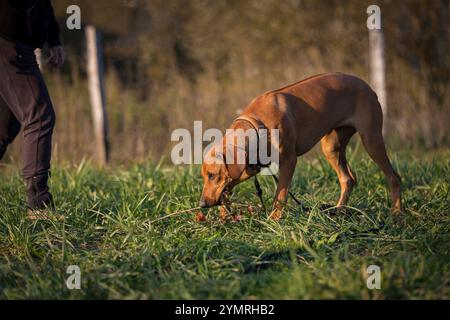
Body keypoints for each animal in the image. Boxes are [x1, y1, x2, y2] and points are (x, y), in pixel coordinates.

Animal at [199, 72, 402, 218]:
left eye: (212, 175)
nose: (201, 204)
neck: (257, 123)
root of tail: (369, 88)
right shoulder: (250, 166)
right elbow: (228, 189)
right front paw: (224, 215)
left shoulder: (289, 161)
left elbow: (280, 195)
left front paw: (274, 220)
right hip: (331, 147)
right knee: (348, 179)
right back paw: (339, 210)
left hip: (371, 139)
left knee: (394, 177)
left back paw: (396, 213)